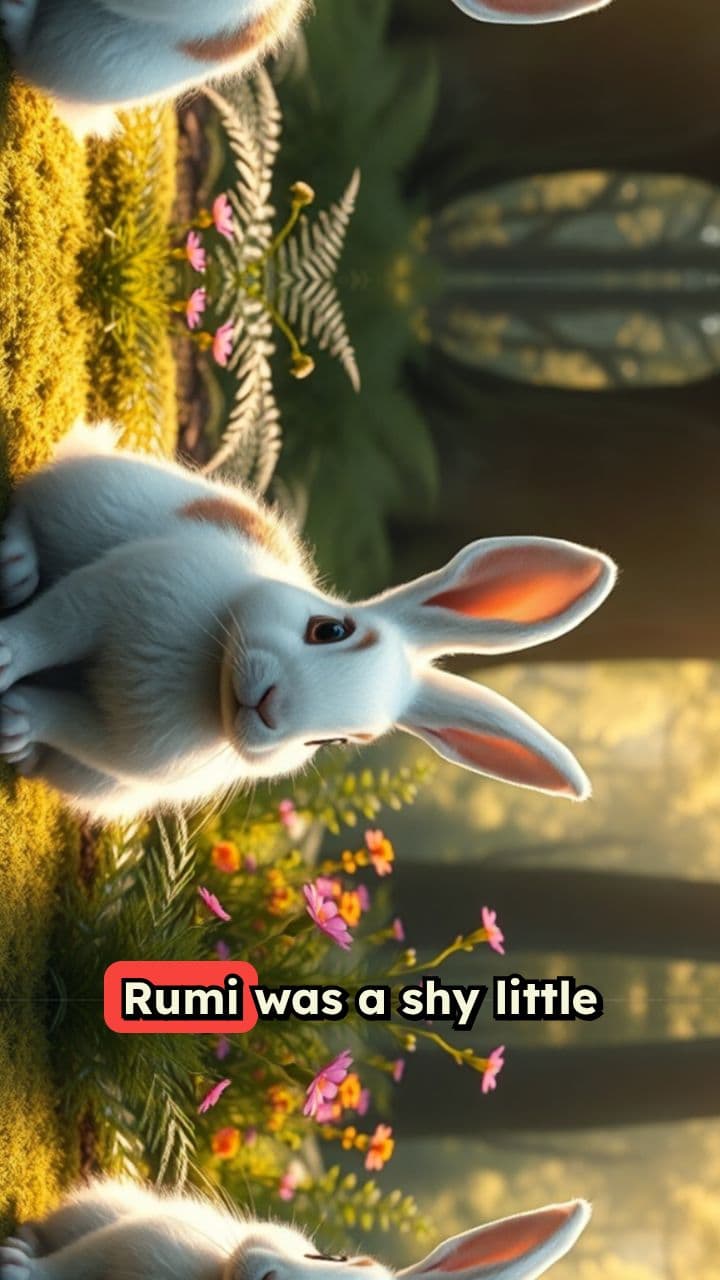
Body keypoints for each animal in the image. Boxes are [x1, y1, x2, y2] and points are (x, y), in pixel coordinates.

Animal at [0, 421, 616, 823]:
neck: (207, 679)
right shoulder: (109, 594)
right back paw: (16, 562)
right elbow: (48, 628)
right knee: (37, 503)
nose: (271, 708)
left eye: (336, 740)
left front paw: (17, 720)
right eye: (331, 630)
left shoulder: (112, 750)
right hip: (89, 500)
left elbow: (59, 717)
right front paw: (5, 654)